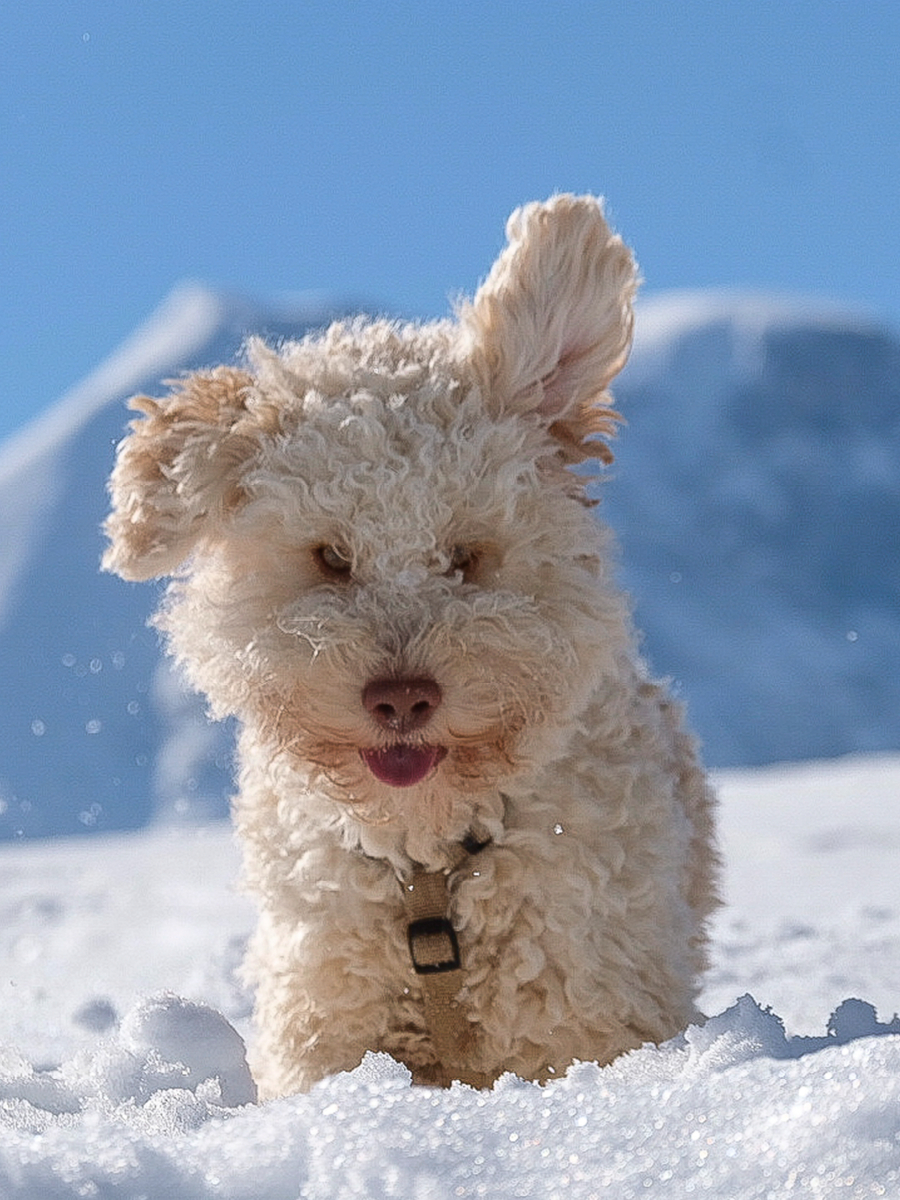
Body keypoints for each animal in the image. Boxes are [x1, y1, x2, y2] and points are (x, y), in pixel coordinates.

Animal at [102, 194, 720, 1099]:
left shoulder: (582, 1006)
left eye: (464, 555)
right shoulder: (327, 1008)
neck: (430, 865)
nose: (400, 699)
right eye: (331, 556)